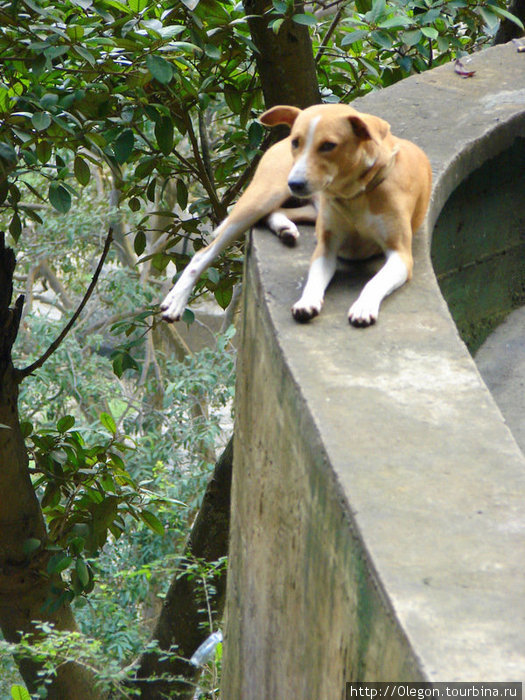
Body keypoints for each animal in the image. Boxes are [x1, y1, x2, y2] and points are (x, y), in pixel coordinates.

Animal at [161, 102, 430, 326]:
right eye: (297, 142)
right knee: (203, 255)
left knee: (278, 212)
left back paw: (285, 228)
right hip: (263, 196)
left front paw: (364, 306)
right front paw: (307, 301)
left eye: (328, 145)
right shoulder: (326, 249)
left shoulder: (400, 255)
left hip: (309, 206)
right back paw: (175, 301)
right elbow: (314, 280)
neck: (355, 194)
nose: (295, 183)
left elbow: (375, 281)